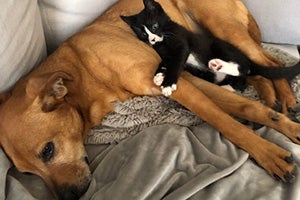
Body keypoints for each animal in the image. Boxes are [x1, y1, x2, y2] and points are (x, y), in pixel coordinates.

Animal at [120, 0, 298, 96]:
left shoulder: (182, 44)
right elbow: (165, 62)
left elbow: (176, 63)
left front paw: (168, 84)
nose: (151, 39)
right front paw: (158, 75)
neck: (164, 41)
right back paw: (225, 86)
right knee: (241, 83)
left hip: (221, 46)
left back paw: (218, 65)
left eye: (154, 26)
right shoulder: (165, 54)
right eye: (143, 34)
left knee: (243, 68)